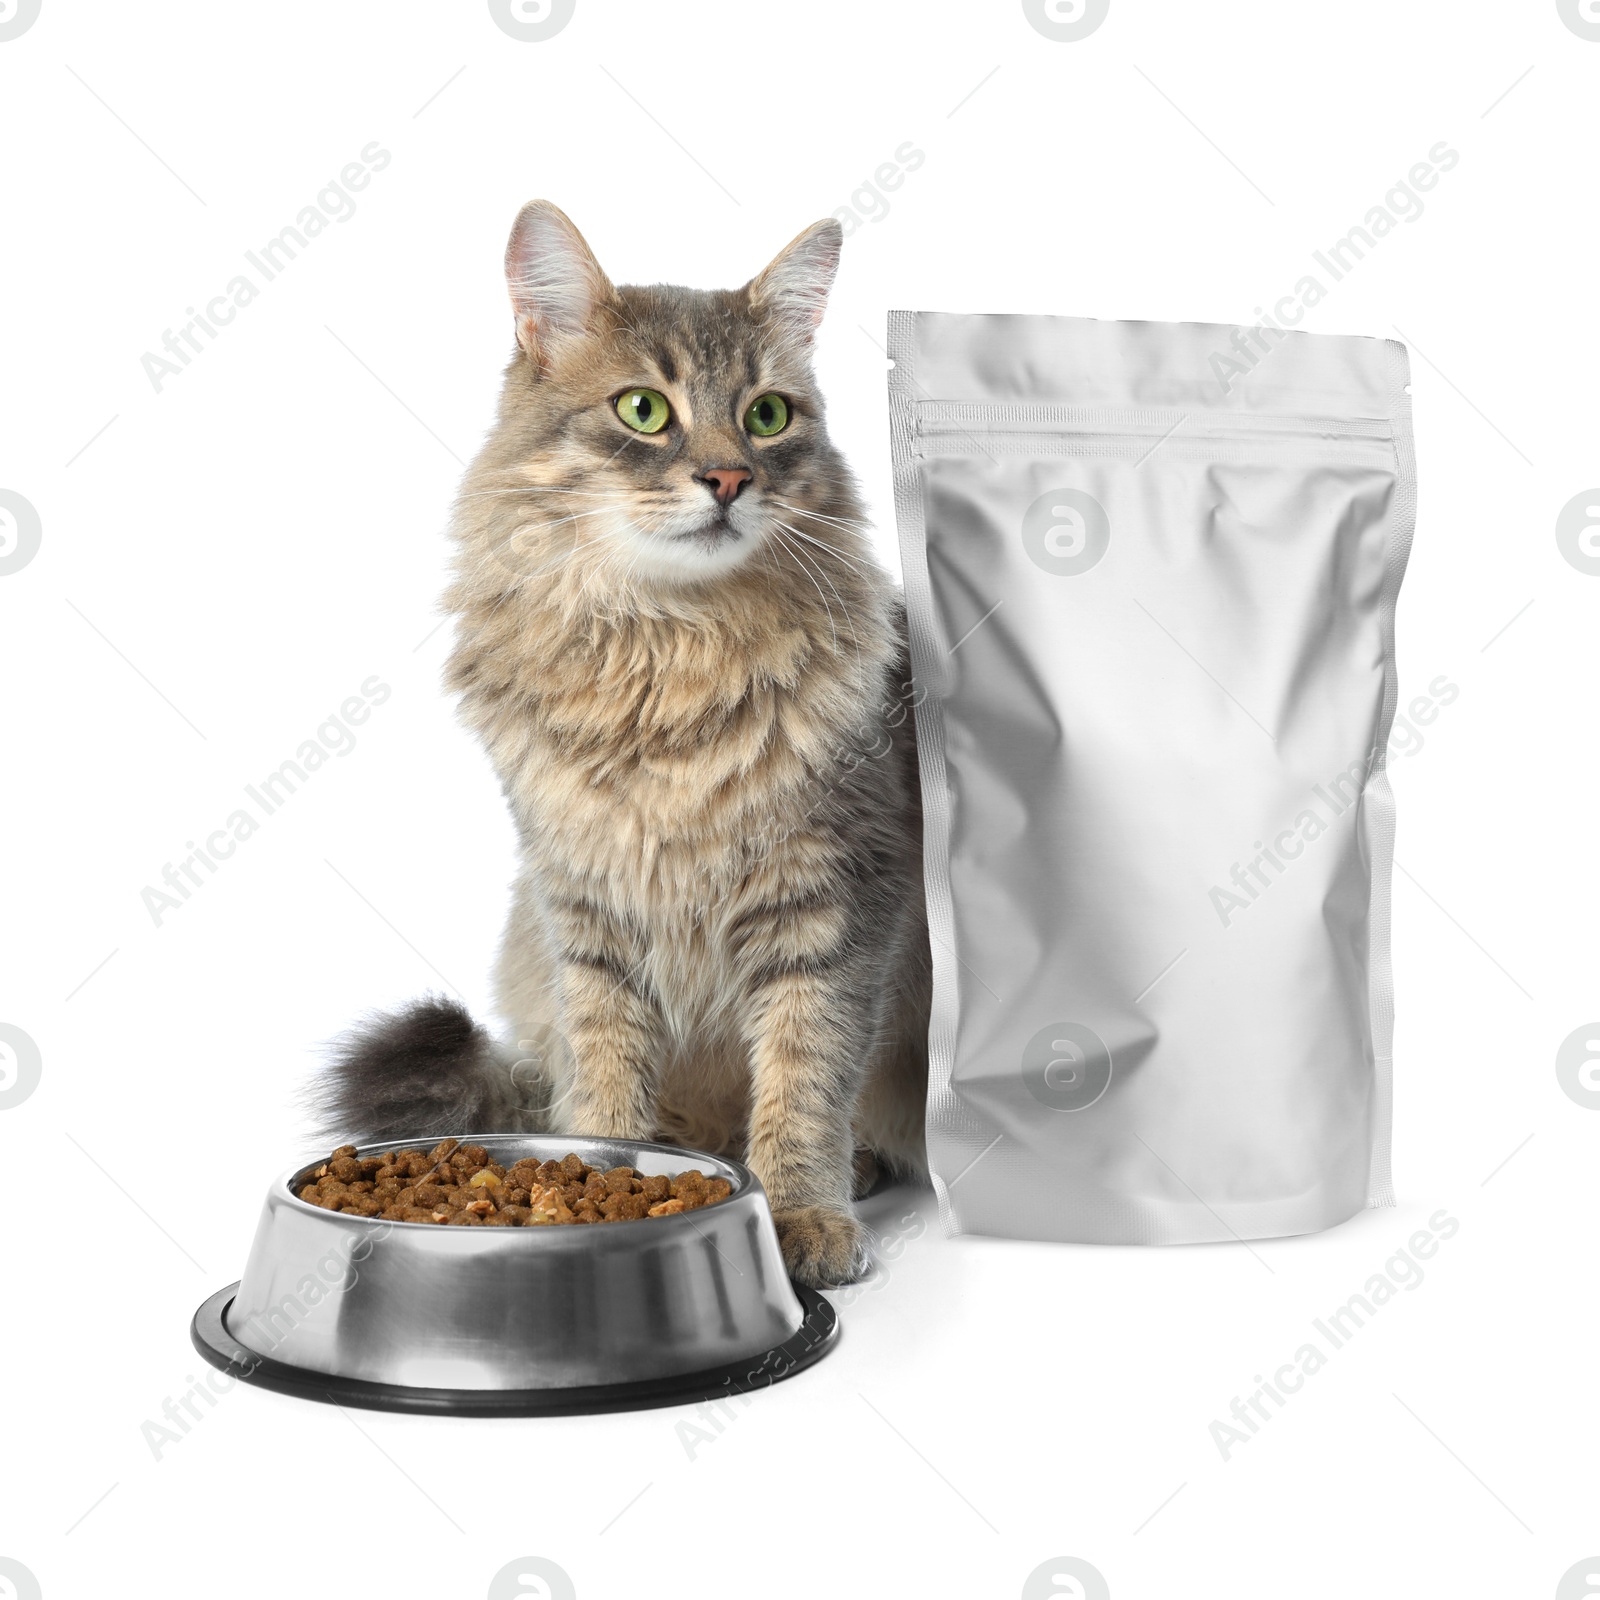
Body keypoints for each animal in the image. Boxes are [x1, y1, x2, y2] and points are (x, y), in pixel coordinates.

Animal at [313, 200, 934, 1286]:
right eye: (645, 410)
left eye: (767, 416)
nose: (727, 476)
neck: (665, 653)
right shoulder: (586, 910)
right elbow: (605, 1080)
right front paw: (597, 1181)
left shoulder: (835, 906)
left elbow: (804, 1082)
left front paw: (801, 1214)